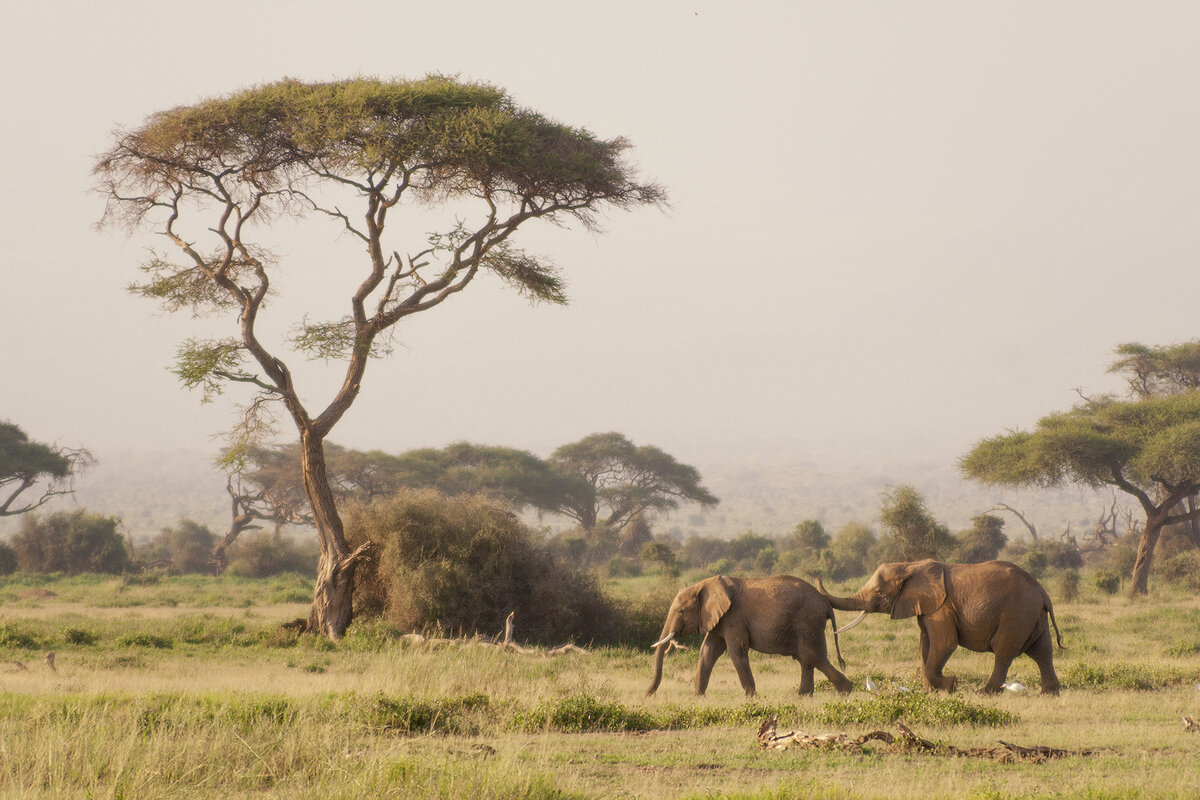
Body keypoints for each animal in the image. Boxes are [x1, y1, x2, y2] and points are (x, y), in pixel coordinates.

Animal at [648, 573, 854, 695]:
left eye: (681, 611)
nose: (648, 694)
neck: (705, 584)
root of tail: (826, 603)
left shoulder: (734, 616)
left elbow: (736, 650)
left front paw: (752, 698)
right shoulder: (720, 619)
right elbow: (708, 651)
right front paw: (697, 697)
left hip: (808, 621)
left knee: (812, 656)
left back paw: (847, 691)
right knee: (806, 659)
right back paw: (803, 697)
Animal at [816, 563, 1060, 695]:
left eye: (878, 593)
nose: (817, 576)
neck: (911, 565)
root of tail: (1043, 593)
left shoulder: (942, 607)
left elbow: (944, 643)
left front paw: (951, 685)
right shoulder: (928, 608)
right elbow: (925, 643)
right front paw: (931, 692)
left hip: (1016, 614)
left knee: (1004, 651)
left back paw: (985, 693)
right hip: (1031, 616)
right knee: (1042, 651)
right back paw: (1050, 694)